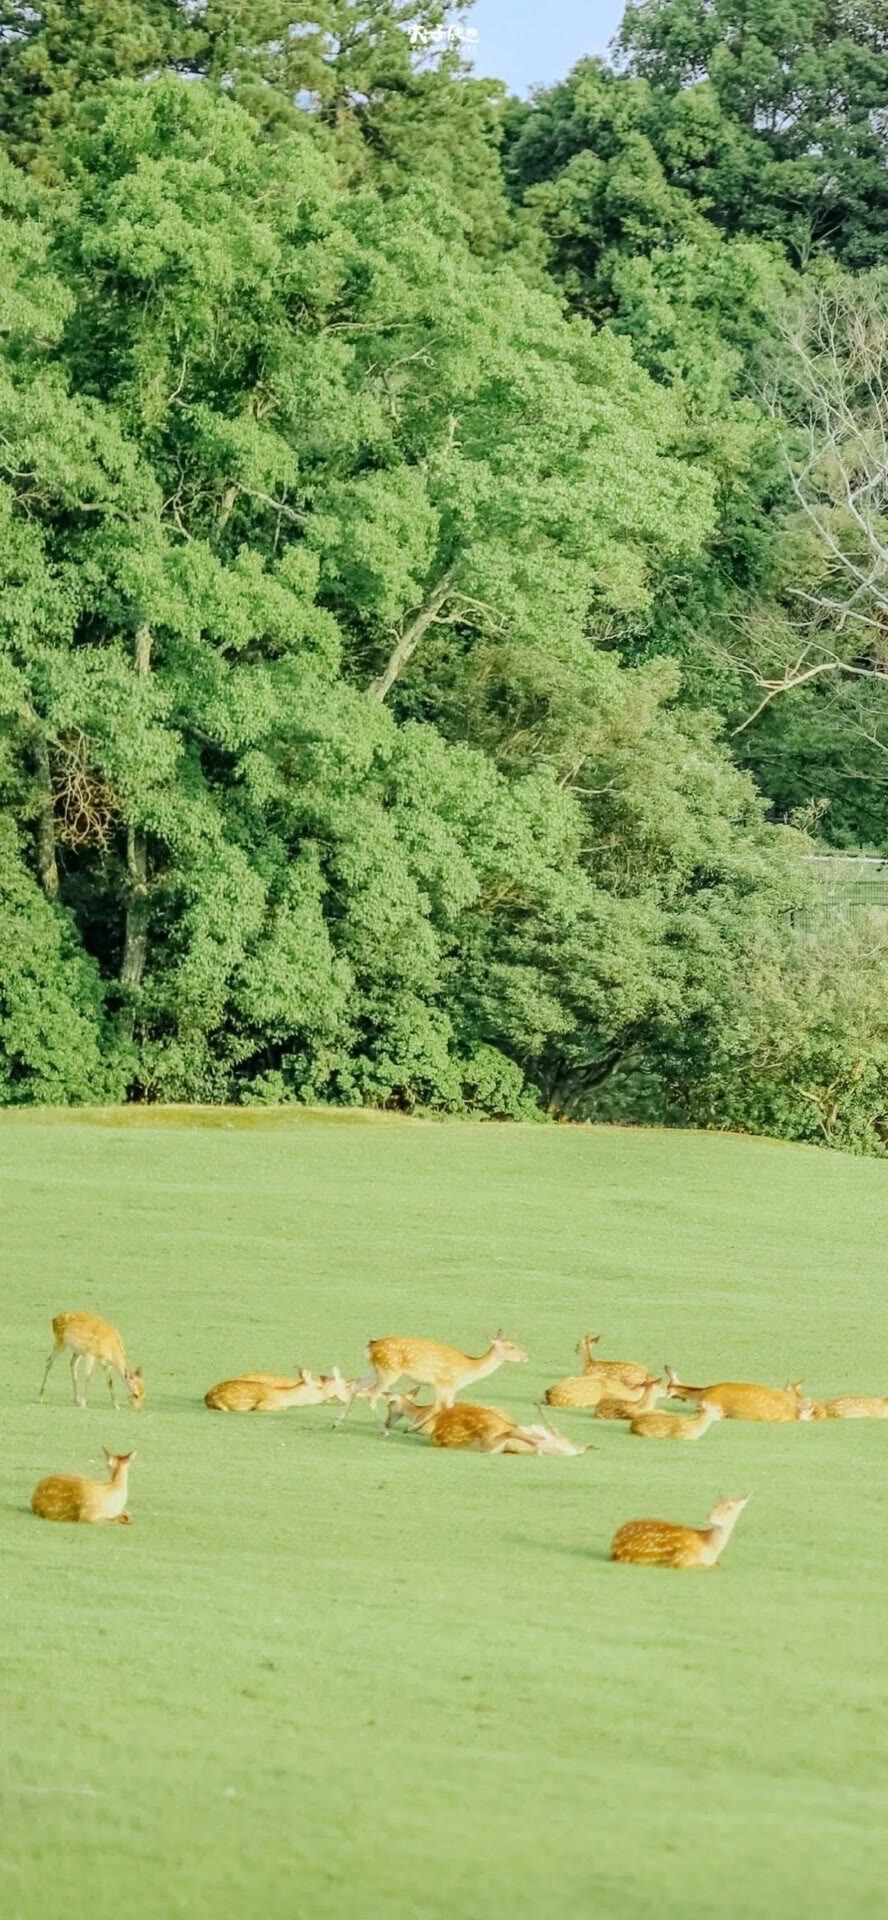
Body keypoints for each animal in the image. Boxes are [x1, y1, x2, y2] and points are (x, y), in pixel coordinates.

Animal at [337, 1336, 525, 1428]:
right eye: (511, 1346)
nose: (525, 1356)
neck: (468, 1369)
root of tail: (370, 1346)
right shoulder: (440, 1384)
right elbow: (437, 1408)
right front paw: (412, 1428)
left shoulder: (452, 1389)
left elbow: (449, 1407)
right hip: (389, 1371)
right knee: (371, 1394)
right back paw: (383, 1430)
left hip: (374, 1370)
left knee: (355, 1386)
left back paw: (337, 1423)